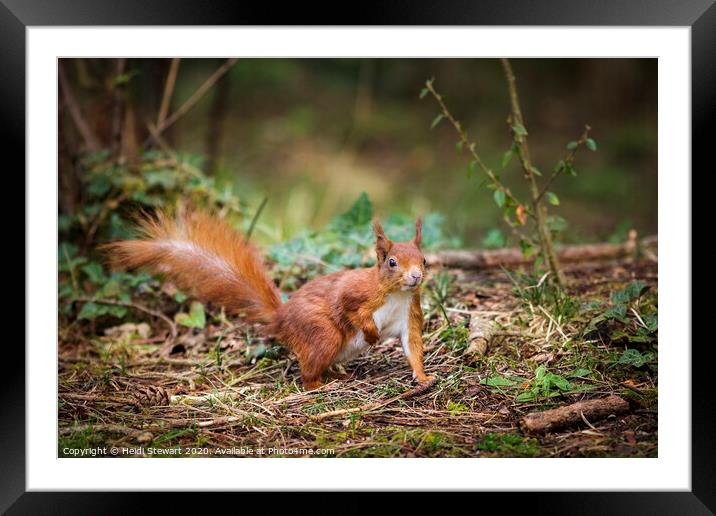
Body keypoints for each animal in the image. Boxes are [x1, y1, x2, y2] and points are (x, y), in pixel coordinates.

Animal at [103, 212, 434, 390]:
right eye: (392, 262)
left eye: (424, 260)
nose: (416, 276)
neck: (396, 294)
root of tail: (281, 319)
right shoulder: (357, 293)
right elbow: (348, 308)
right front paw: (371, 332)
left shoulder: (410, 314)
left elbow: (413, 346)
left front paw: (423, 377)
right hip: (321, 333)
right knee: (308, 370)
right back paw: (319, 384)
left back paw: (338, 372)